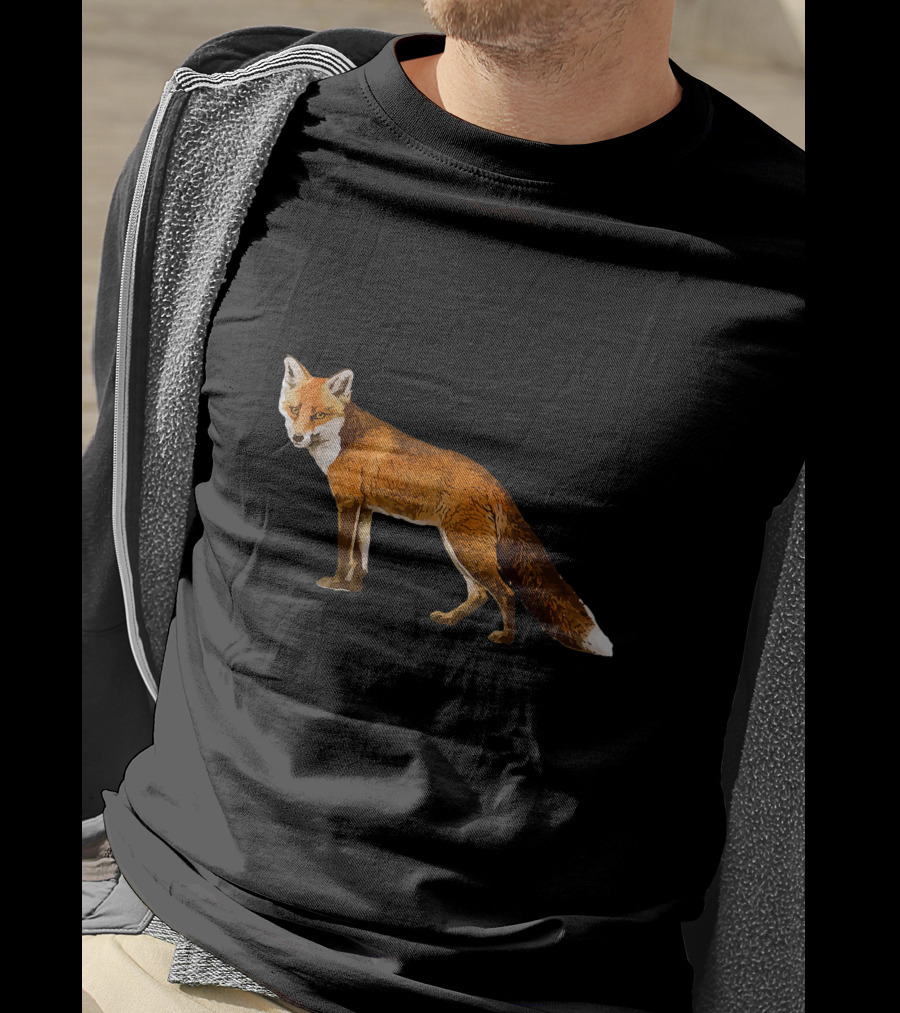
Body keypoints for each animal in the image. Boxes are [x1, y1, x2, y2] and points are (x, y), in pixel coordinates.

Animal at [279, 356, 613, 656]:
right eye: (294, 410)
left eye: (319, 415)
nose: (297, 437)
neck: (342, 441)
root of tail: (493, 481)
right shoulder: (366, 508)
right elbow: (361, 555)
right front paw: (353, 587)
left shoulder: (347, 501)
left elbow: (343, 552)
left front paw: (335, 583)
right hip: (458, 547)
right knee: (479, 594)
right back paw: (451, 620)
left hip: (467, 549)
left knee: (505, 593)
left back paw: (506, 639)